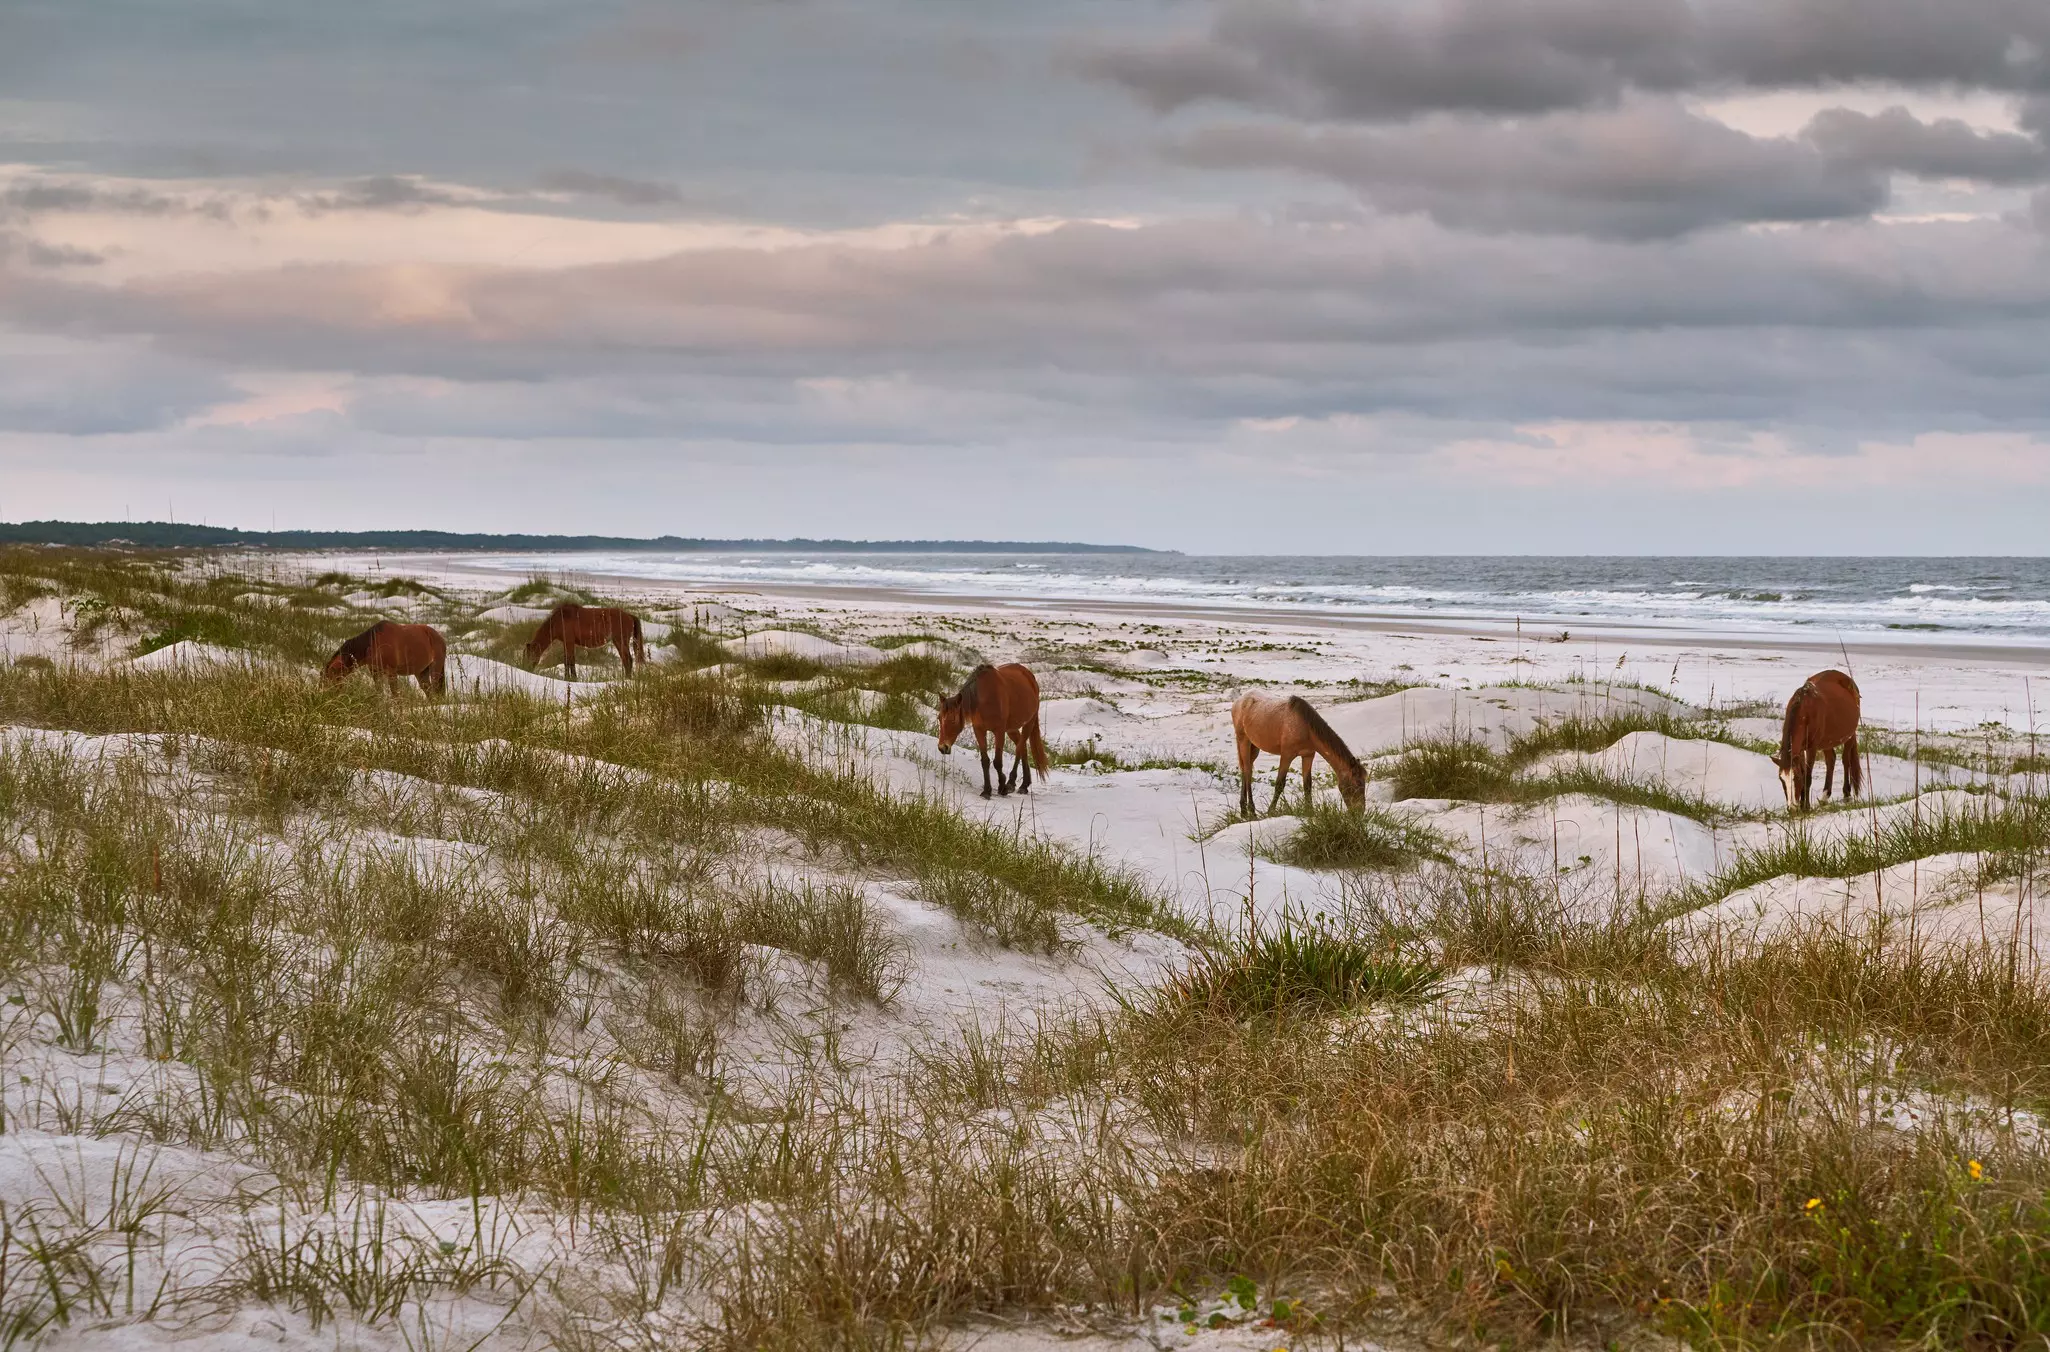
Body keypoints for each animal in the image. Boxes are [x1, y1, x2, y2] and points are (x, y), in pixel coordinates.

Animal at [936, 663, 1048, 798]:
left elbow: (997, 762)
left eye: (952, 720)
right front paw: (986, 791)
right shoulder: (979, 730)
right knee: (1022, 748)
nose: (942, 747)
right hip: (1012, 729)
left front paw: (1002, 787)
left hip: (1028, 723)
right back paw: (1024, 785)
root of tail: (1030, 676)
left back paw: (1011, 783)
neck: (985, 699)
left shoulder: (999, 731)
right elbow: (985, 761)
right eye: (939, 718)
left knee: (1019, 749)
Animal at [1231, 692, 1366, 816]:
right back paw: (1250, 810)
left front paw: (1310, 811)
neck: (1306, 729)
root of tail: (1239, 701)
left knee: (1246, 770)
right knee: (1247, 771)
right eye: (1357, 784)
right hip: (1244, 741)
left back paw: (1244, 809)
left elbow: (1307, 785)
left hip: (1254, 747)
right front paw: (1271, 811)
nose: (1360, 812)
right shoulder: (1286, 755)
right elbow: (1279, 784)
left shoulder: (1308, 756)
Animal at [1772, 669, 1862, 811]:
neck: (1804, 713)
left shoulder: (1812, 748)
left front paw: (1806, 807)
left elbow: (1807, 776)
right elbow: (1804, 770)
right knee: (1831, 760)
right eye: (1781, 780)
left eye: (1796, 777)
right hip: (1827, 741)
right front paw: (1802, 804)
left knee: (1846, 760)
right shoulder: (1800, 749)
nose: (1792, 808)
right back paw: (1825, 795)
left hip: (1849, 735)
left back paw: (1847, 794)